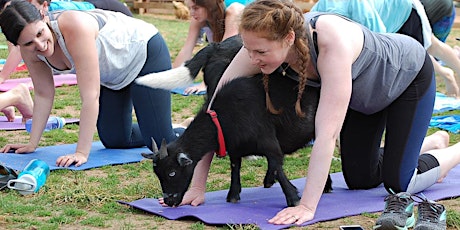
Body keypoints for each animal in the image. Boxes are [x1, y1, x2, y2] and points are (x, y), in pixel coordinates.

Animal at [135, 35, 332, 207]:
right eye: (158, 174)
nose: (169, 201)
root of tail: (215, 46)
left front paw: (293, 199)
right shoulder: (236, 147)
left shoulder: (269, 142)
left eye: (172, 172)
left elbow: (276, 165)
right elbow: (235, 165)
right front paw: (233, 195)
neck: (224, 116)